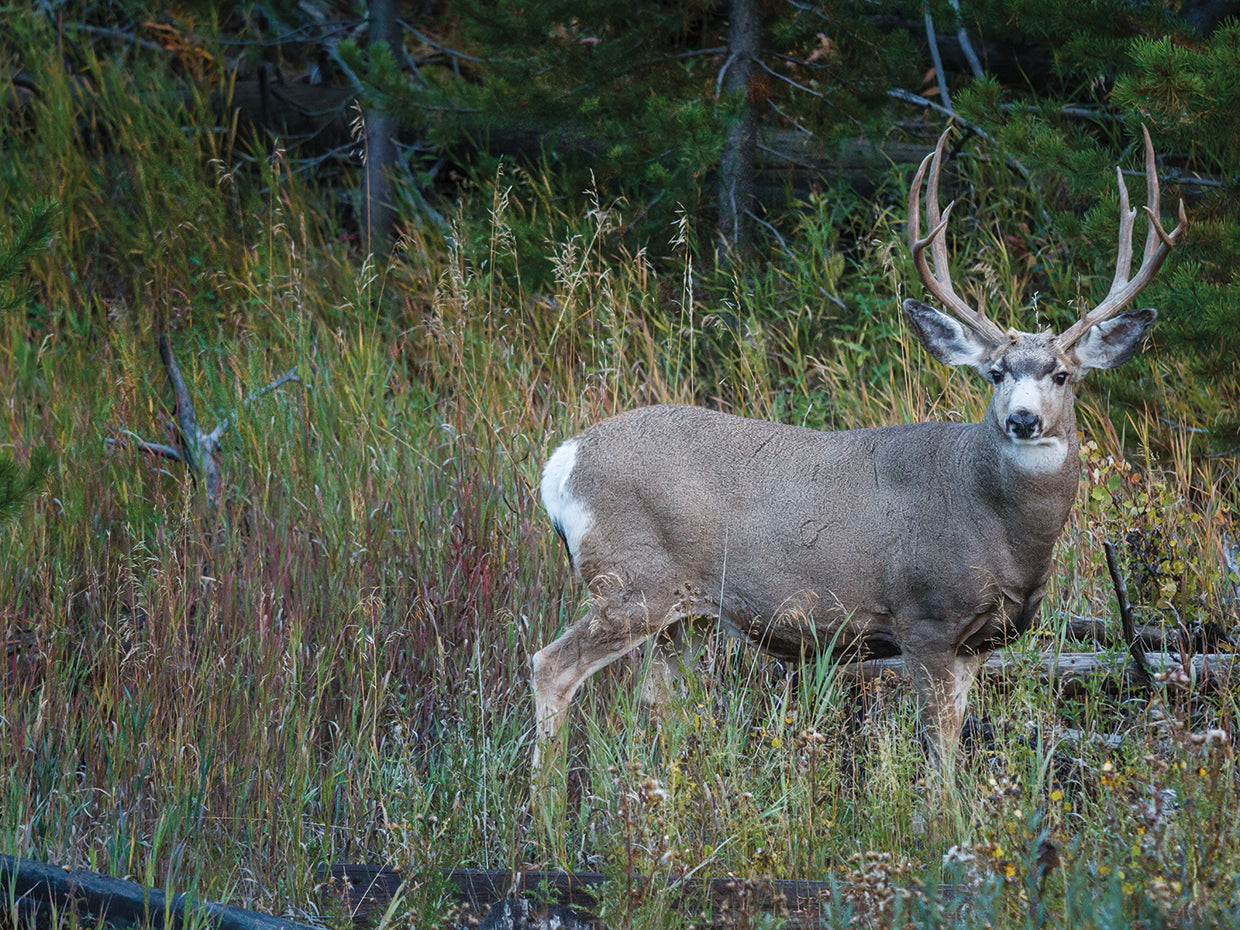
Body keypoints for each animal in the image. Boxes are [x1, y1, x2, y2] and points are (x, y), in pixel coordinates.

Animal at [531, 126, 1186, 776]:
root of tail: (562, 463)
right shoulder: (924, 619)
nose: (1022, 420)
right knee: (550, 666)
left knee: (654, 700)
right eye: (995, 373)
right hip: (631, 581)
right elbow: (939, 759)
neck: (997, 527)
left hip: (680, 614)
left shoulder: (977, 642)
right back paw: (551, 804)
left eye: (1062, 375)